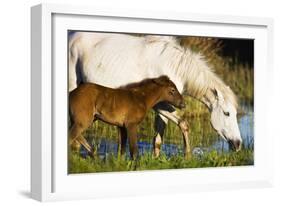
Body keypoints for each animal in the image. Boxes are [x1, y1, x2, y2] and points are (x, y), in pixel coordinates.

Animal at [69, 32, 242, 158]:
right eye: (227, 113)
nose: (238, 144)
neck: (172, 66)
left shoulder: (164, 105)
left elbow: (159, 138)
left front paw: (157, 159)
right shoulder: (158, 104)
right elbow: (184, 124)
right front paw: (187, 157)